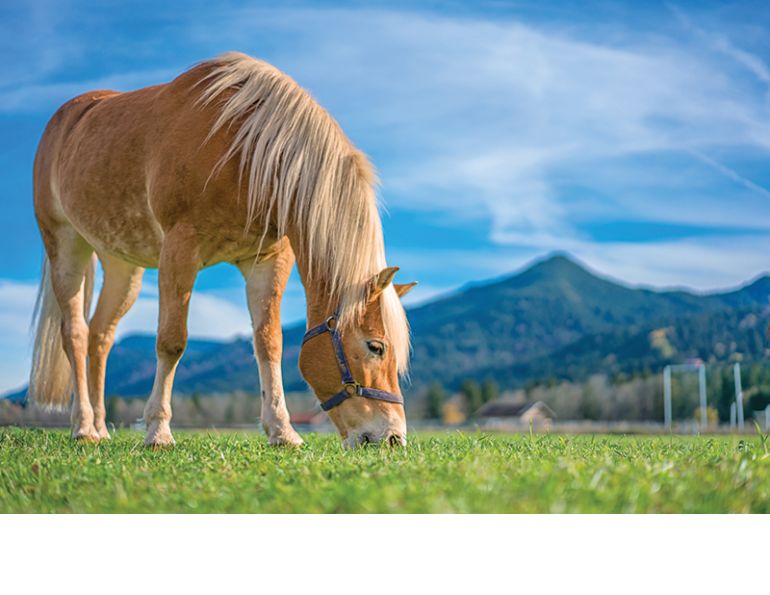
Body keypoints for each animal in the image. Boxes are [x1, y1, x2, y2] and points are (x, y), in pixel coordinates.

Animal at [28, 52, 416, 448]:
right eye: (376, 346)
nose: (393, 437)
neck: (244, 149)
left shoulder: (267, 260)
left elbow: (269, 342)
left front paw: (282, 430)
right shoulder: (179, 249)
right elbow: (172, 341)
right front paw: (158, 430)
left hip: (122, 266)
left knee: (100, 338)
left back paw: (101, 427)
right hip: (65, 244)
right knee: (76, 335)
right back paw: (83, 426)